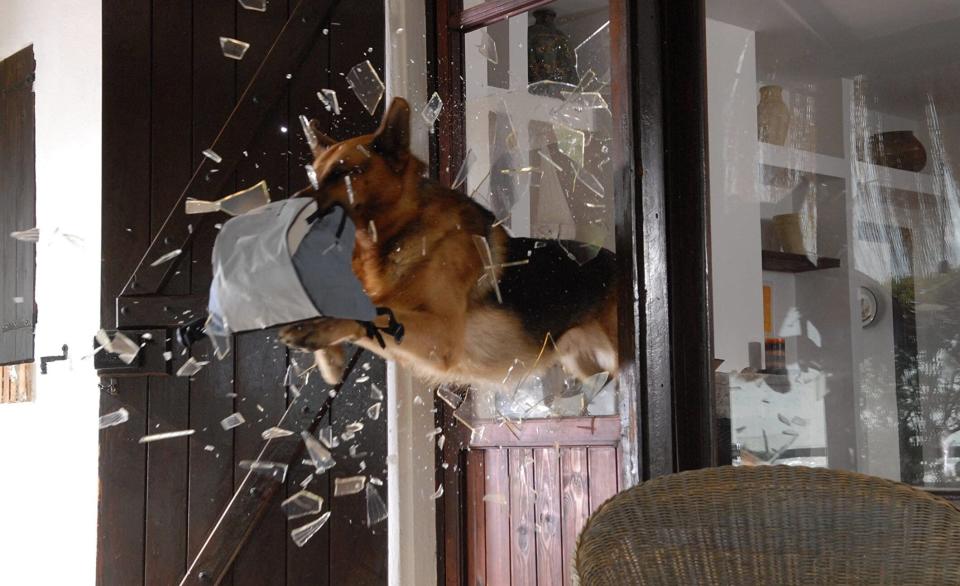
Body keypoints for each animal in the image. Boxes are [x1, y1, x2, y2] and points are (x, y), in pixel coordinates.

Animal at [282, 97, 620, 386]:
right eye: (312, 175)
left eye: (343, 172)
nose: (281, 214)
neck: (400, 234)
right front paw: (330, 355)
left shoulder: (441, 335)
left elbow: (377, 312)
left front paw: (321, 328)